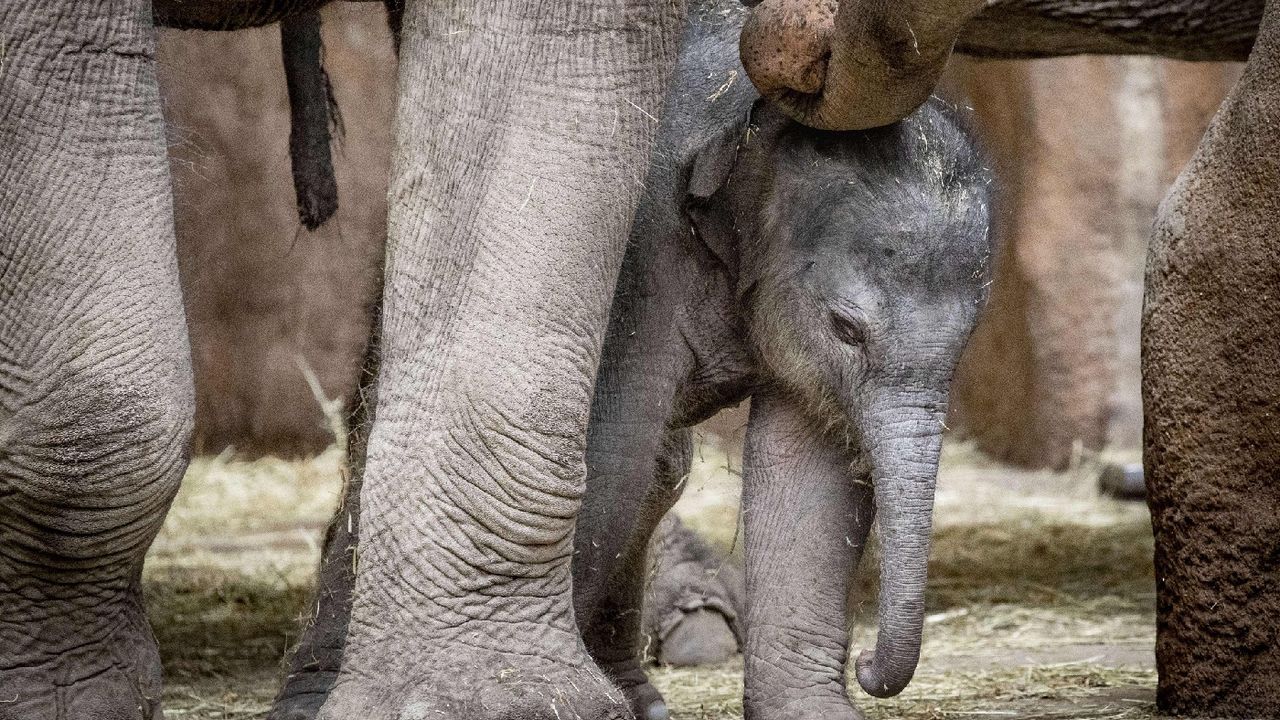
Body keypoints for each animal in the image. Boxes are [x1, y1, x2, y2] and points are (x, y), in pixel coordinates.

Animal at [573, 1, 998, 717]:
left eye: (967, 339)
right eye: (846, 329)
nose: (865, 663)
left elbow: (810, 471)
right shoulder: (641, 261)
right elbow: (614, 453)